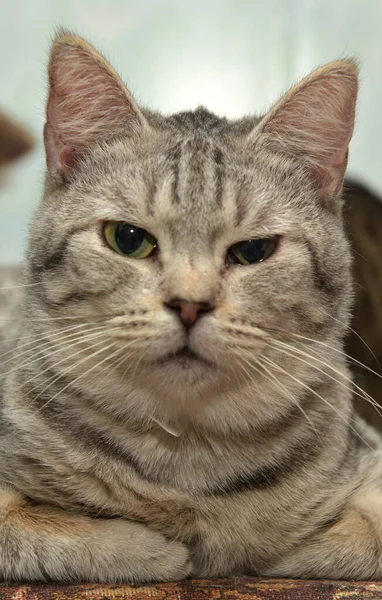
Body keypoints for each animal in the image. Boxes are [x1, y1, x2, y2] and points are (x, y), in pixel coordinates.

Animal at [0, 30, 382, 584]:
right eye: (128, 239)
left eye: (253, 251)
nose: (188, 305)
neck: (187, 460)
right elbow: (42, 527)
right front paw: (150, 548)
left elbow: (349, 534)